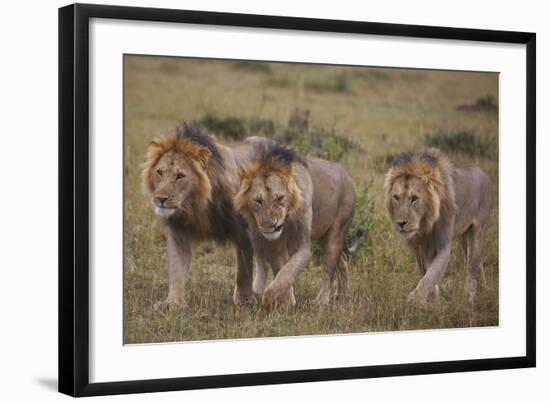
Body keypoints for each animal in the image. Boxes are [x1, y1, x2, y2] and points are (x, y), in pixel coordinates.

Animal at [141, 123, 256, 310]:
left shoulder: (243, 232)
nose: (161, 199)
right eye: (159, 172)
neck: (197, 205)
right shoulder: (178, 233)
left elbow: (244, 269)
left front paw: (245, 299)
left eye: (180, 176)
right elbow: (177, 270)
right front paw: (173, 303)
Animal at [235, 136, 360, 304]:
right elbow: (282, 270)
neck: (287, 218)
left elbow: (288, 272)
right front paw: (287, 301)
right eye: (258, 201)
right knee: (343, 261)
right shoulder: (275, 245)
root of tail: (347, 175)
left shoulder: (302, 247)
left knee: (329, 268)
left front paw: (271, 299)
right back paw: (342, 296)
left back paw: (321, 301)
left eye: (279, 198)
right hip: (323, 236)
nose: (270, 225)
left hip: (337, 231)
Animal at [386, 147, 494, 304]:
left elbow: (432, 274)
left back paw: (469, 296)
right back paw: (484, 288)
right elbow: (425, 270)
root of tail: (483, 173)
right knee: (477, 260)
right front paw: (434, 295)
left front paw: (415, 299)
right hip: (464, 236)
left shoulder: (442, 245)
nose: (400, 223)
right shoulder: (419, 246)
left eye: (414, 198)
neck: (425, 224)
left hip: (478, 230)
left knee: (472, 264)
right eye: (396, 197)